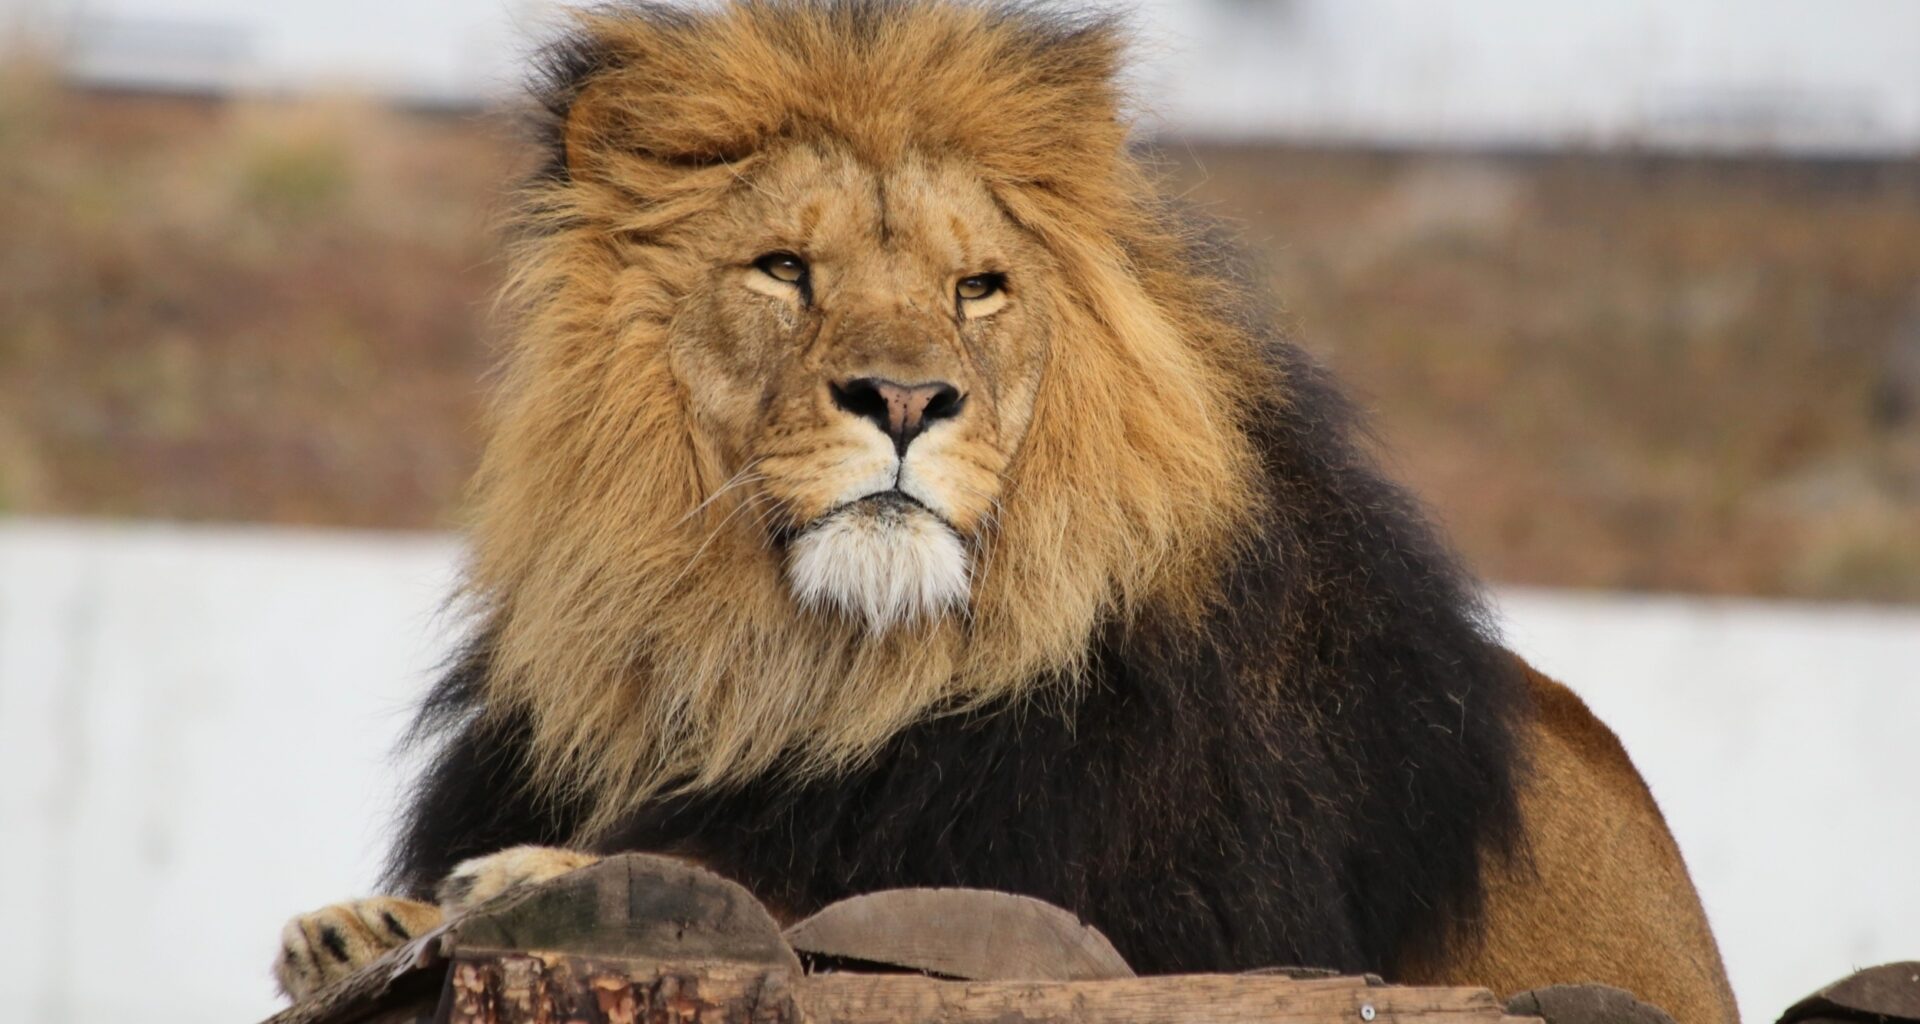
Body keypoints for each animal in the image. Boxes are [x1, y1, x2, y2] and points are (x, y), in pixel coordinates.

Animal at [272, 3, 1739, 1022]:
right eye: (783, 270)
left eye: (977, 286)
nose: (907, 397)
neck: (821, 674)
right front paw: (349, 927)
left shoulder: (1155, 930)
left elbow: (799, 889)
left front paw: (517, 878)